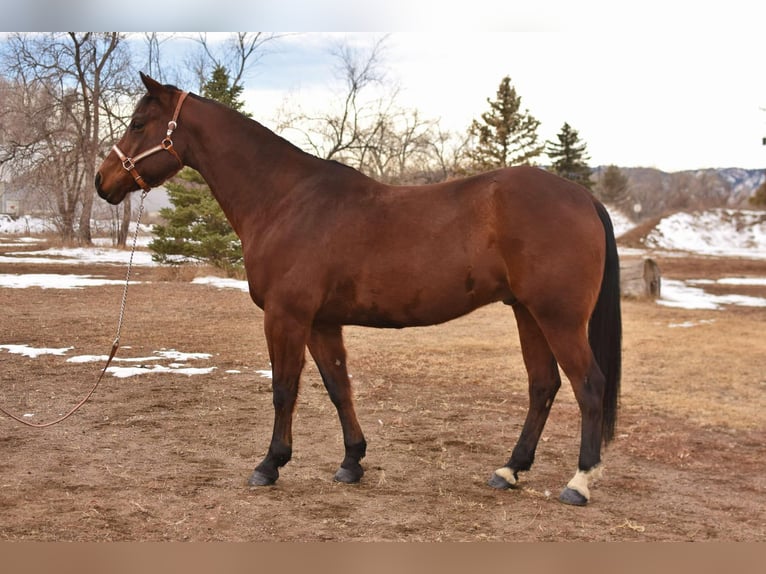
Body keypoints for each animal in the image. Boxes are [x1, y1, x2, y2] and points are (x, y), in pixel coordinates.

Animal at [95, 73, 621, 506]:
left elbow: (284, 389)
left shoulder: (286, 317)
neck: (286, 200)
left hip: (558, 318)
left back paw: (578, 483)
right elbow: (338, 388)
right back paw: (510, 470)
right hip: (527, 313)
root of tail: (583, 197)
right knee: (543, 385)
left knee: (588, 384)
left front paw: (270, 465)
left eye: (138, 122)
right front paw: (352, 462)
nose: (103, 181)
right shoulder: (322, 322)